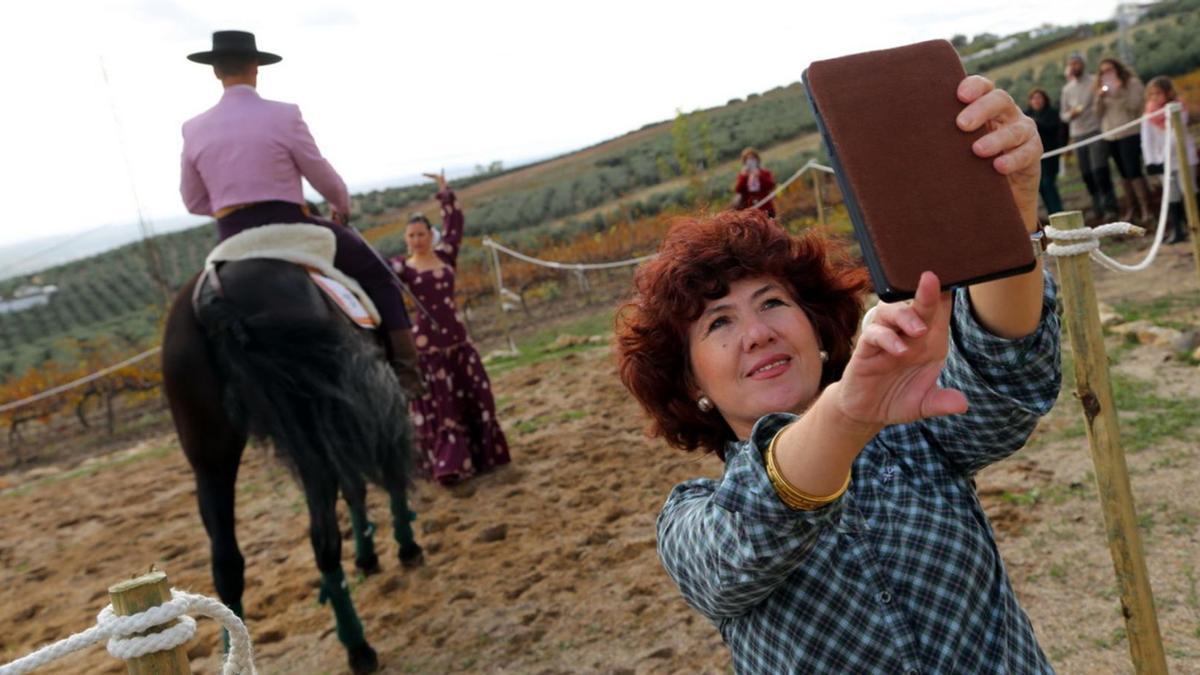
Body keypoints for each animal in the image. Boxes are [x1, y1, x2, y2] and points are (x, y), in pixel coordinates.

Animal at [159, 258, 422, 672]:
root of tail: (215, 291)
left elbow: (357, 488)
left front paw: (368, 554)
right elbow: (387, 473)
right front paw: (403, 546)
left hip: (211, 461)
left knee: (227, 562)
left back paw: (235, 653)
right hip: (311, 434)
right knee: (324, 539)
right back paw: (358, 647)